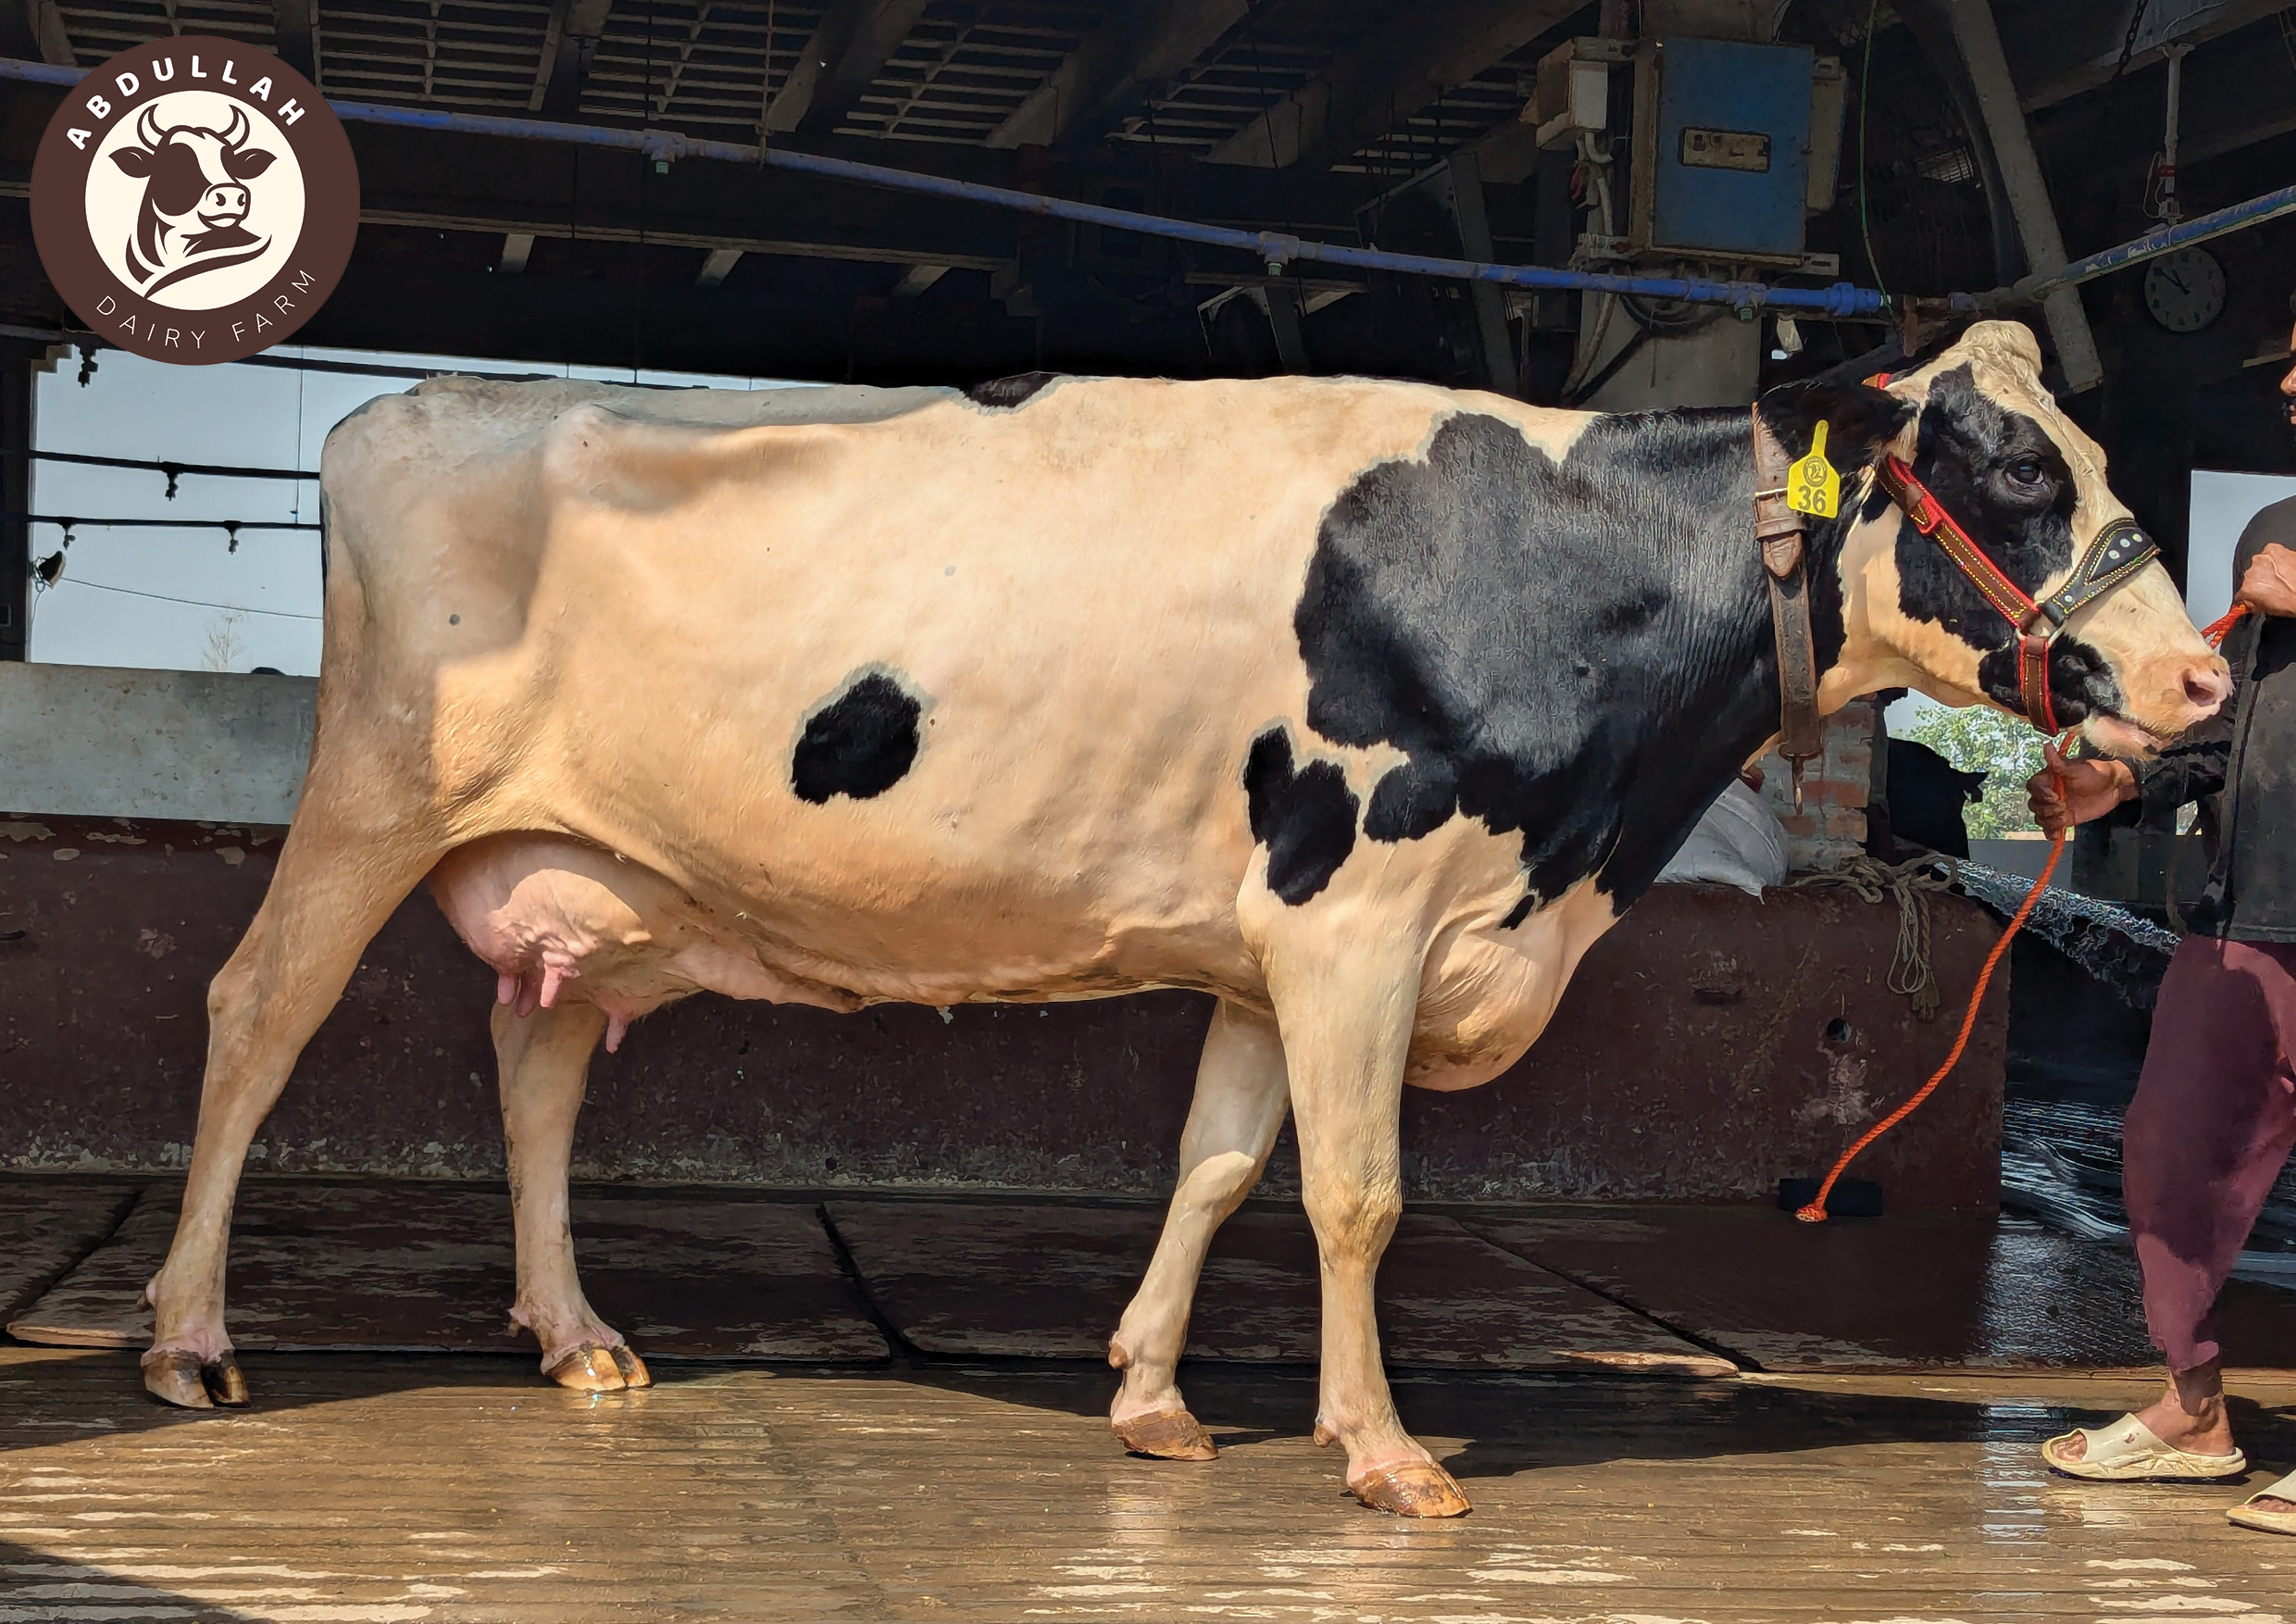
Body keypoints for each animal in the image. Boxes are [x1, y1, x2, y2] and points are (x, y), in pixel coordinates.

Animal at [135, 321, 2226, 1518]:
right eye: (2014, 469)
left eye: (2104, 458)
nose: (2203, 682)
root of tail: (413, 405)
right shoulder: (1358, 907)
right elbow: (1356, 1192)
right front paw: (1382, 1451)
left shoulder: (1267, 932)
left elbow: (1220, 1165)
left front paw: (1148, 1398)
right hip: (374, 796)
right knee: (255, 1012)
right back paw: (186, 1338)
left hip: (598, 865)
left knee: (539, 1058)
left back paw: (577, 1339)